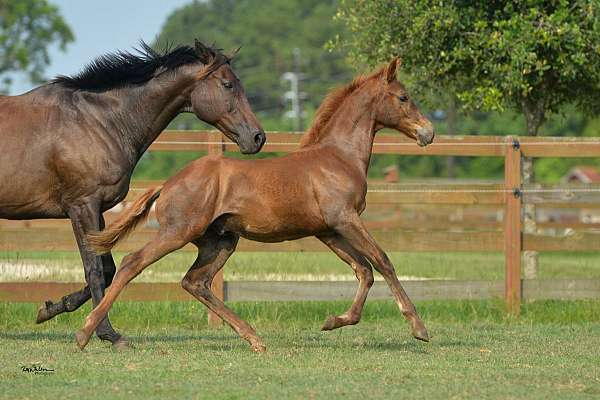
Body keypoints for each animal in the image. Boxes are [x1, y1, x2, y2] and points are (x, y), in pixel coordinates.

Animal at [0, 41, 264, 346]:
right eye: (227, 84)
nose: (258, 137)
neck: (98, 122)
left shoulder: (99, 210)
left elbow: (108, 270)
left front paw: (52, 308)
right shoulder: (82, 206)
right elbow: (95, 270)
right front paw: (107, 333)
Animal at [81, 57, 436, 352]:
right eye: (403, 97)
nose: (428, 132)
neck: (338, 157)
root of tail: (168, 183)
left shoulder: (328, 230)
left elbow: (364, 270)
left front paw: (335, 321)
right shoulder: (345, 219)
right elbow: (383, 261)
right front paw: (418, 328)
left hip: (220, 241)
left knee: (195, 282)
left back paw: (254, 338)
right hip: (178, 231)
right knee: (132, 263)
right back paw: (86, 332)